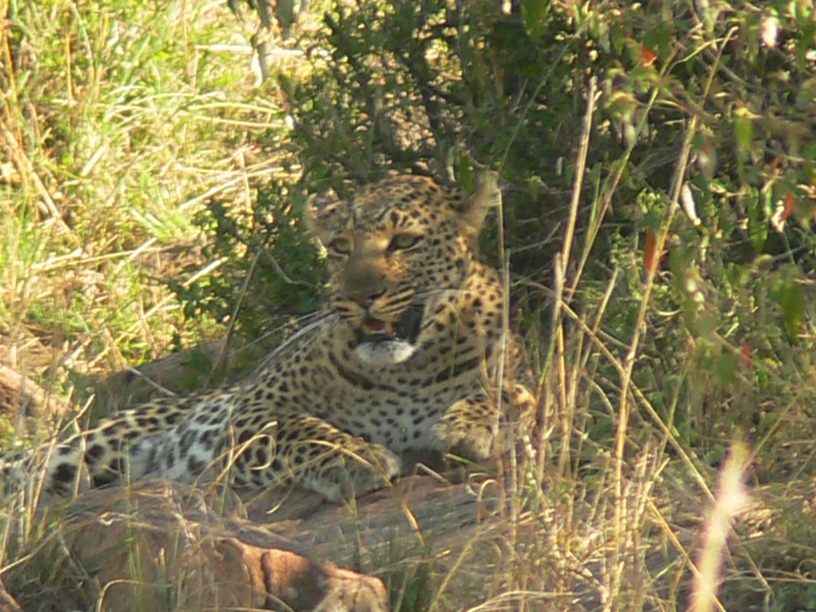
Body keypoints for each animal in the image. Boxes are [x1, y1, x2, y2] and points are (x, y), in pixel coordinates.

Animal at [1, 173, 536, 502]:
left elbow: (508, 394)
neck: (407, 369)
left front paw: (469, 424)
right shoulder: (251, 412)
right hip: (85, 450)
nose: (360, 296)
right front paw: (356, 457)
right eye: (340, 247)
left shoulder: (528, 378)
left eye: (404, 242)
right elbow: (300, 430)